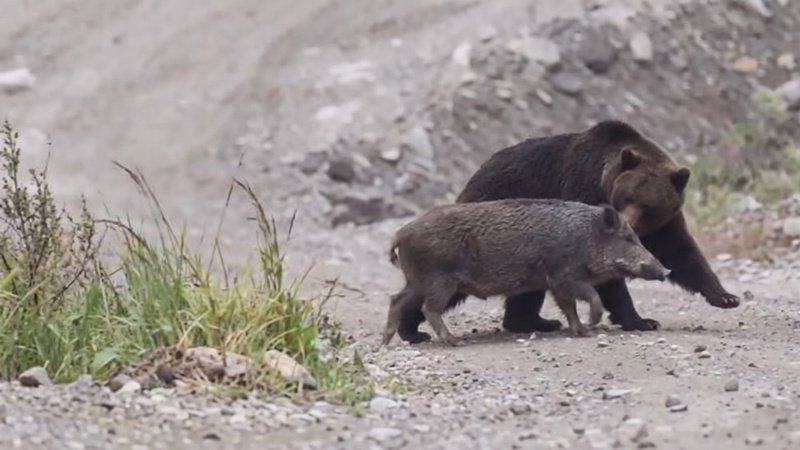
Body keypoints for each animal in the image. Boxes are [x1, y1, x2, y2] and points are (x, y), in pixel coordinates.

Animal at [394, 119, 740, 344]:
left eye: (649, 205)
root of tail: (473, 177)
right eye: (626, 196)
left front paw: (725, 296)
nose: (627, 222)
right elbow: (608, 275)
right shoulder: (582, 196)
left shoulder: (664, 225)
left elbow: (683, 254)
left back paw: (535, 321)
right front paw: (640, 319)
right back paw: (411, 329)